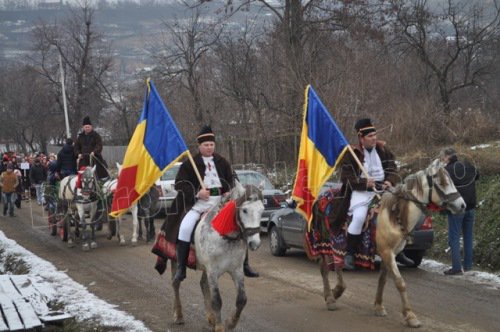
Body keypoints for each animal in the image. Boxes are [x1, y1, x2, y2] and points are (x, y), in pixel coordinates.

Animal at [172, 182, 266, 332]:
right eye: (245, 210)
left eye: (262, 210)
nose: (255, 243)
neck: (224, 236)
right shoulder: (212, 271)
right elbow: (217, 300)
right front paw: (220, 326)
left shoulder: (236, 270)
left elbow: (242, 299)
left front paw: (230, 322)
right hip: (176, 260)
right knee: (176, 282)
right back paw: (179, 315)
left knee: (203, 284)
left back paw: (211, 318)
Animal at [316, 160, 464, 328]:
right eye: (442, 182)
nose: (462, 205)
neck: (395, 215)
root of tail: (323, 196)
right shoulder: (387, 253)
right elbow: (400, 282)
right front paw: (410, 315)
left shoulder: (389, 253)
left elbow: (383, 280)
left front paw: (379, 306)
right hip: (325, 241)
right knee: (325, 269)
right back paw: (330, 298)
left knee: (337, 265)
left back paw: (337, 291)